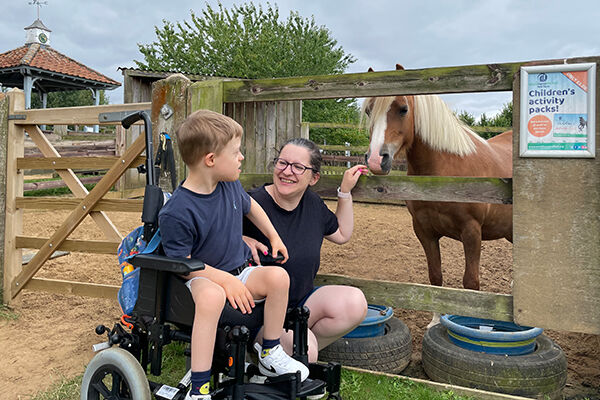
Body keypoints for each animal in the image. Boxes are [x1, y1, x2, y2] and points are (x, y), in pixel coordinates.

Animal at [364, 65, 512, 312]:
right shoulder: (425, 231)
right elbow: (436, 279)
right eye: (368, 111)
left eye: (403, 109)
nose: (376, 159)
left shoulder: (472, 232)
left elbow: (471, 284)